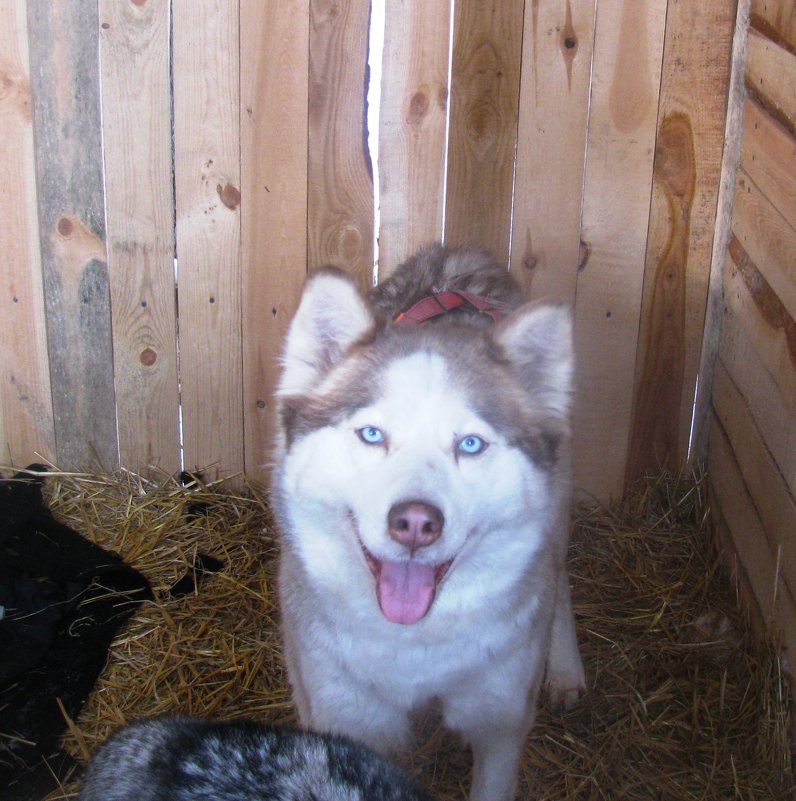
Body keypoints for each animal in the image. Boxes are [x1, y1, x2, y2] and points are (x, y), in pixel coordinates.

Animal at [274, 244, 584, 800]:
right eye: (372, 434)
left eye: (470, 444)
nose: (416, 523)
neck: (415, 645)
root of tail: (457, 258)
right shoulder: (339, 711)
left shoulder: (500, 720)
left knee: (559, 578)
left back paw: (566, 669)